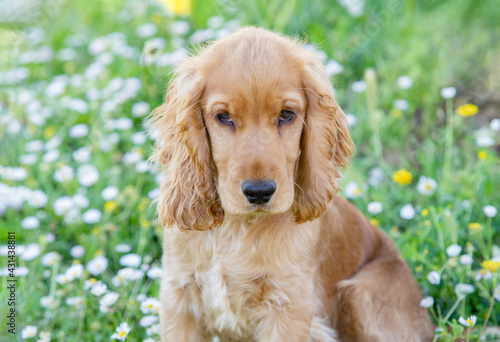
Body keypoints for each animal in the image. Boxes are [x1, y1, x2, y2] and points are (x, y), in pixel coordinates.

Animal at [151, 27, 434, 342]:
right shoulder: (179, 297)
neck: (235, 229)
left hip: (362, 296)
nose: (259, 192)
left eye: (286, 115)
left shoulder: (287, 308)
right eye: (223, 117)